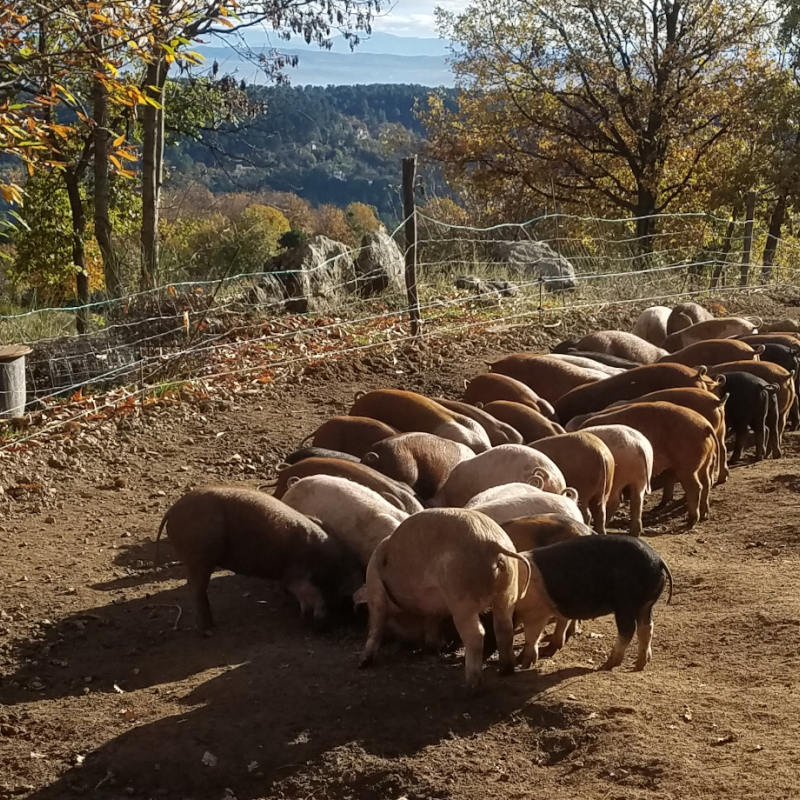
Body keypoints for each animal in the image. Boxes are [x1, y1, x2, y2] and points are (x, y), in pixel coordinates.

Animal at [156, 488, 362, 632]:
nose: (350, 620)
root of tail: (172, 510)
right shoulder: (296, 574)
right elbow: (313, 594)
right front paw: (319, 626)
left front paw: (305, 617)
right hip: (199, 554)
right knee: (197, 589)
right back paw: (208, 630)